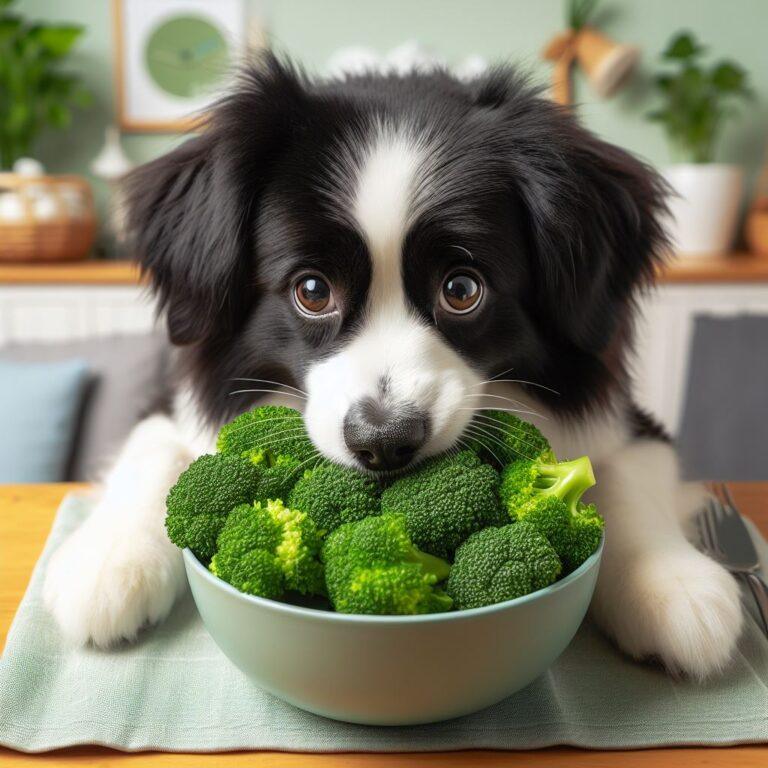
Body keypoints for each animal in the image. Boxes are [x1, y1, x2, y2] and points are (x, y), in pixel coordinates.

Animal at [45, 55, 740, 680]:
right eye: (312, 290)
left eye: (462, 289)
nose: (383, 441)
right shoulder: (172, 399)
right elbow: (153, 452)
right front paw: (102, 564)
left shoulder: (631, 418)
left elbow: (623, 474)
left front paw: (677, 585)